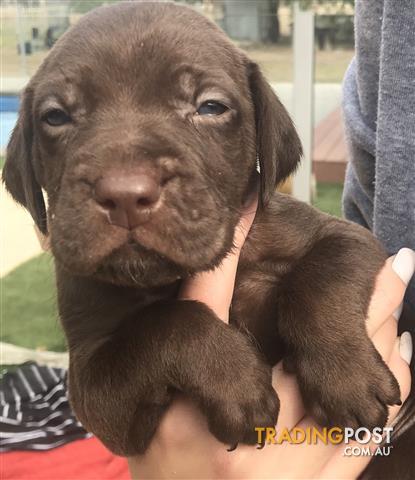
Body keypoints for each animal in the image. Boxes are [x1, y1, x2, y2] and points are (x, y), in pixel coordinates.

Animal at [2, 0, 412, 476]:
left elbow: (318, 284)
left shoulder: (346, 238)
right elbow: (166, 322)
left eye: (210, 107)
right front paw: (234, 381)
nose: (125, 194)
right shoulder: (96, 393)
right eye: (56, 116)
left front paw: (344, 376)